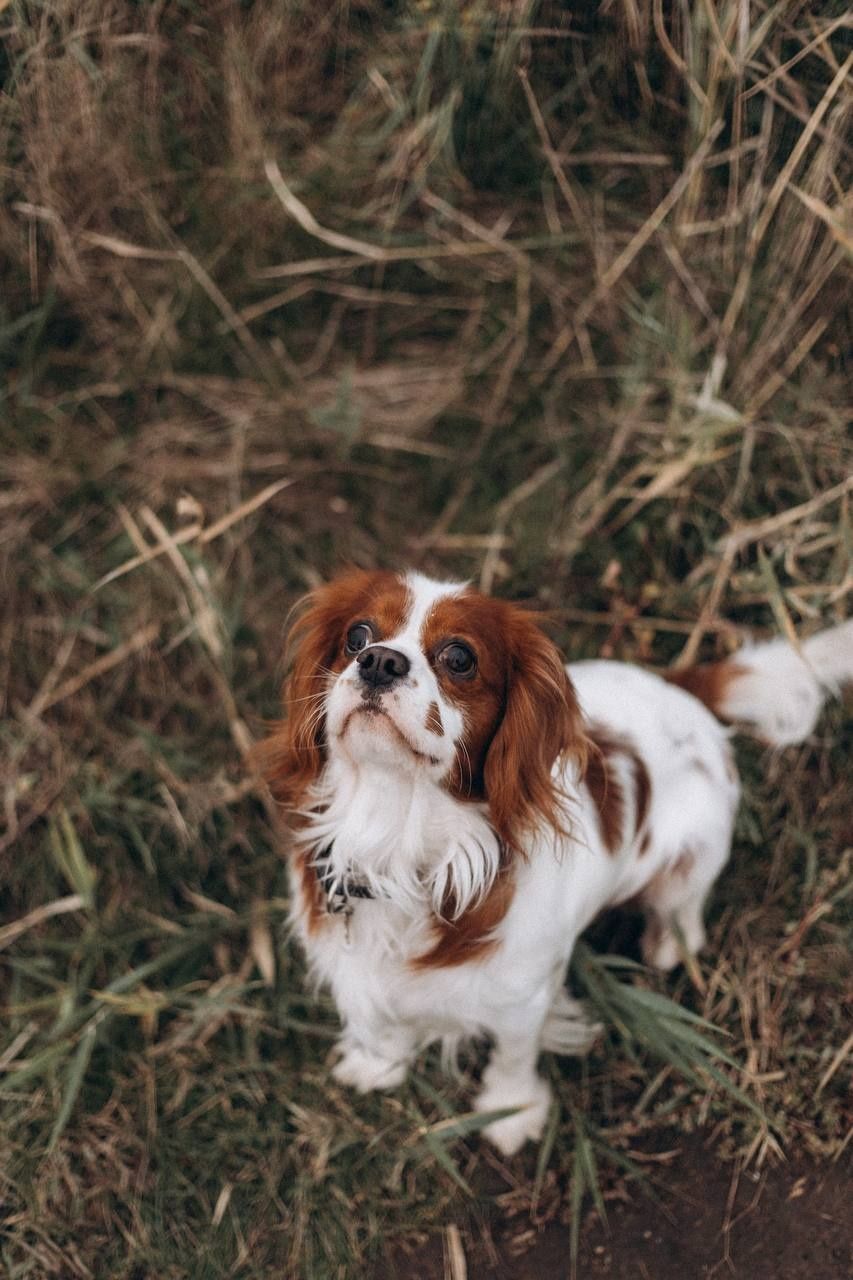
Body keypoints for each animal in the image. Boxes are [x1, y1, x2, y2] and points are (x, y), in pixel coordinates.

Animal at [262, 576, 845, 1157]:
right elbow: (382, 1016)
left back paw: (665, 943)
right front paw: (378, 1063)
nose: (379, 661)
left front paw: (511, 1114)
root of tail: (679, 691)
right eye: (357, 636)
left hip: (692, 858)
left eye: (459, 657)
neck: (397, 836)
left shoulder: (523, 995)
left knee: (684, 913)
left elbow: (512, 1054)